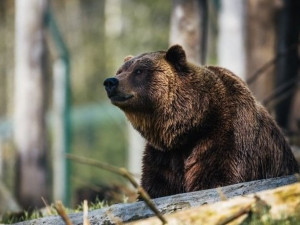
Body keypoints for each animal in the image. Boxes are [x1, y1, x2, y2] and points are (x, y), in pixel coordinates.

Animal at [102, 44, 298, 198]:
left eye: (139, 71)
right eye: (120, 71)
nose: (110, 82)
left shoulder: (226, 136)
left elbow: (216, 178)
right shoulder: (164, 155)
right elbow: (157, 186)